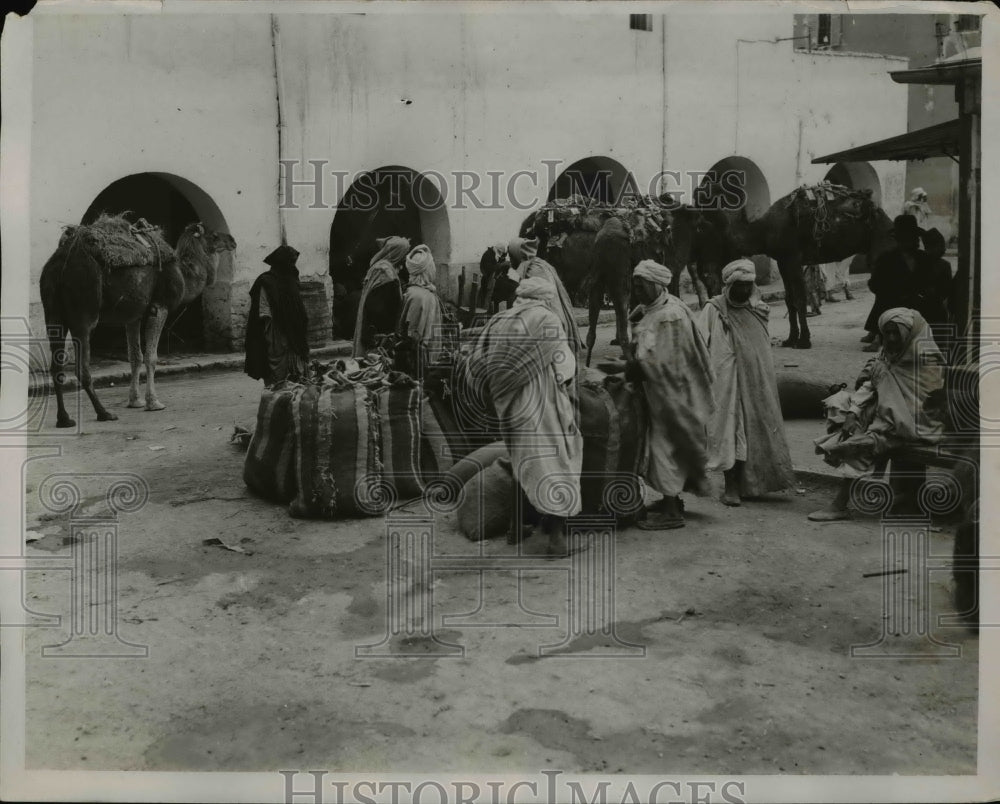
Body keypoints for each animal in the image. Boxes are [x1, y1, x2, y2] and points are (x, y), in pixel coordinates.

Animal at [39, 217, 238, 424]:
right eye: (214, 235)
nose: (232, 241)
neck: (184, 275)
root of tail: (60, 263)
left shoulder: (133, 316)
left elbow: (135, 357)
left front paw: (135, 401)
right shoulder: (159, 307)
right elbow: (151, 357)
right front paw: (154, 402)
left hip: (53, 313)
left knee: (56, 367)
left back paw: (64, 419)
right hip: (84, 310)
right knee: (82, 368)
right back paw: (104, 413)